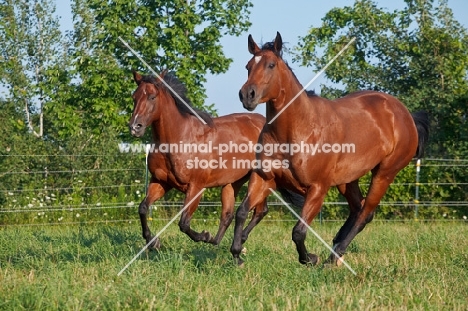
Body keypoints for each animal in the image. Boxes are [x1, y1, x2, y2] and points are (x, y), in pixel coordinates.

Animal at [128, 71, 298, 251]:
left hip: (261, 179)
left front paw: (204, 235)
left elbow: (184, 223)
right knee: (229, 214)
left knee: (260, 210)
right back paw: (219, 242)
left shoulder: (196, 187)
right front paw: (153, 241)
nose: (135, 127)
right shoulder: (161, 182)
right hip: (233, 182)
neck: (180, 138)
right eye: (134, 97)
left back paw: (239, 241)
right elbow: (143, 208)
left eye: (152, 97)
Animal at [230, 33, 428, 266]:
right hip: (347, 180)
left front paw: (310, 259)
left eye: (271, 65)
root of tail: (405, 115)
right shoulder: (264, 178)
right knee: (358, 208)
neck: (297, 130)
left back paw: (334, 256)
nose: (247, 95)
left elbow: (298, 231)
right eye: (248, 66)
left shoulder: (318, 188)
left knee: (366, 212)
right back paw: (336, 245)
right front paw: (237, 253)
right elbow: (241, 212)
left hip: (385, 173)